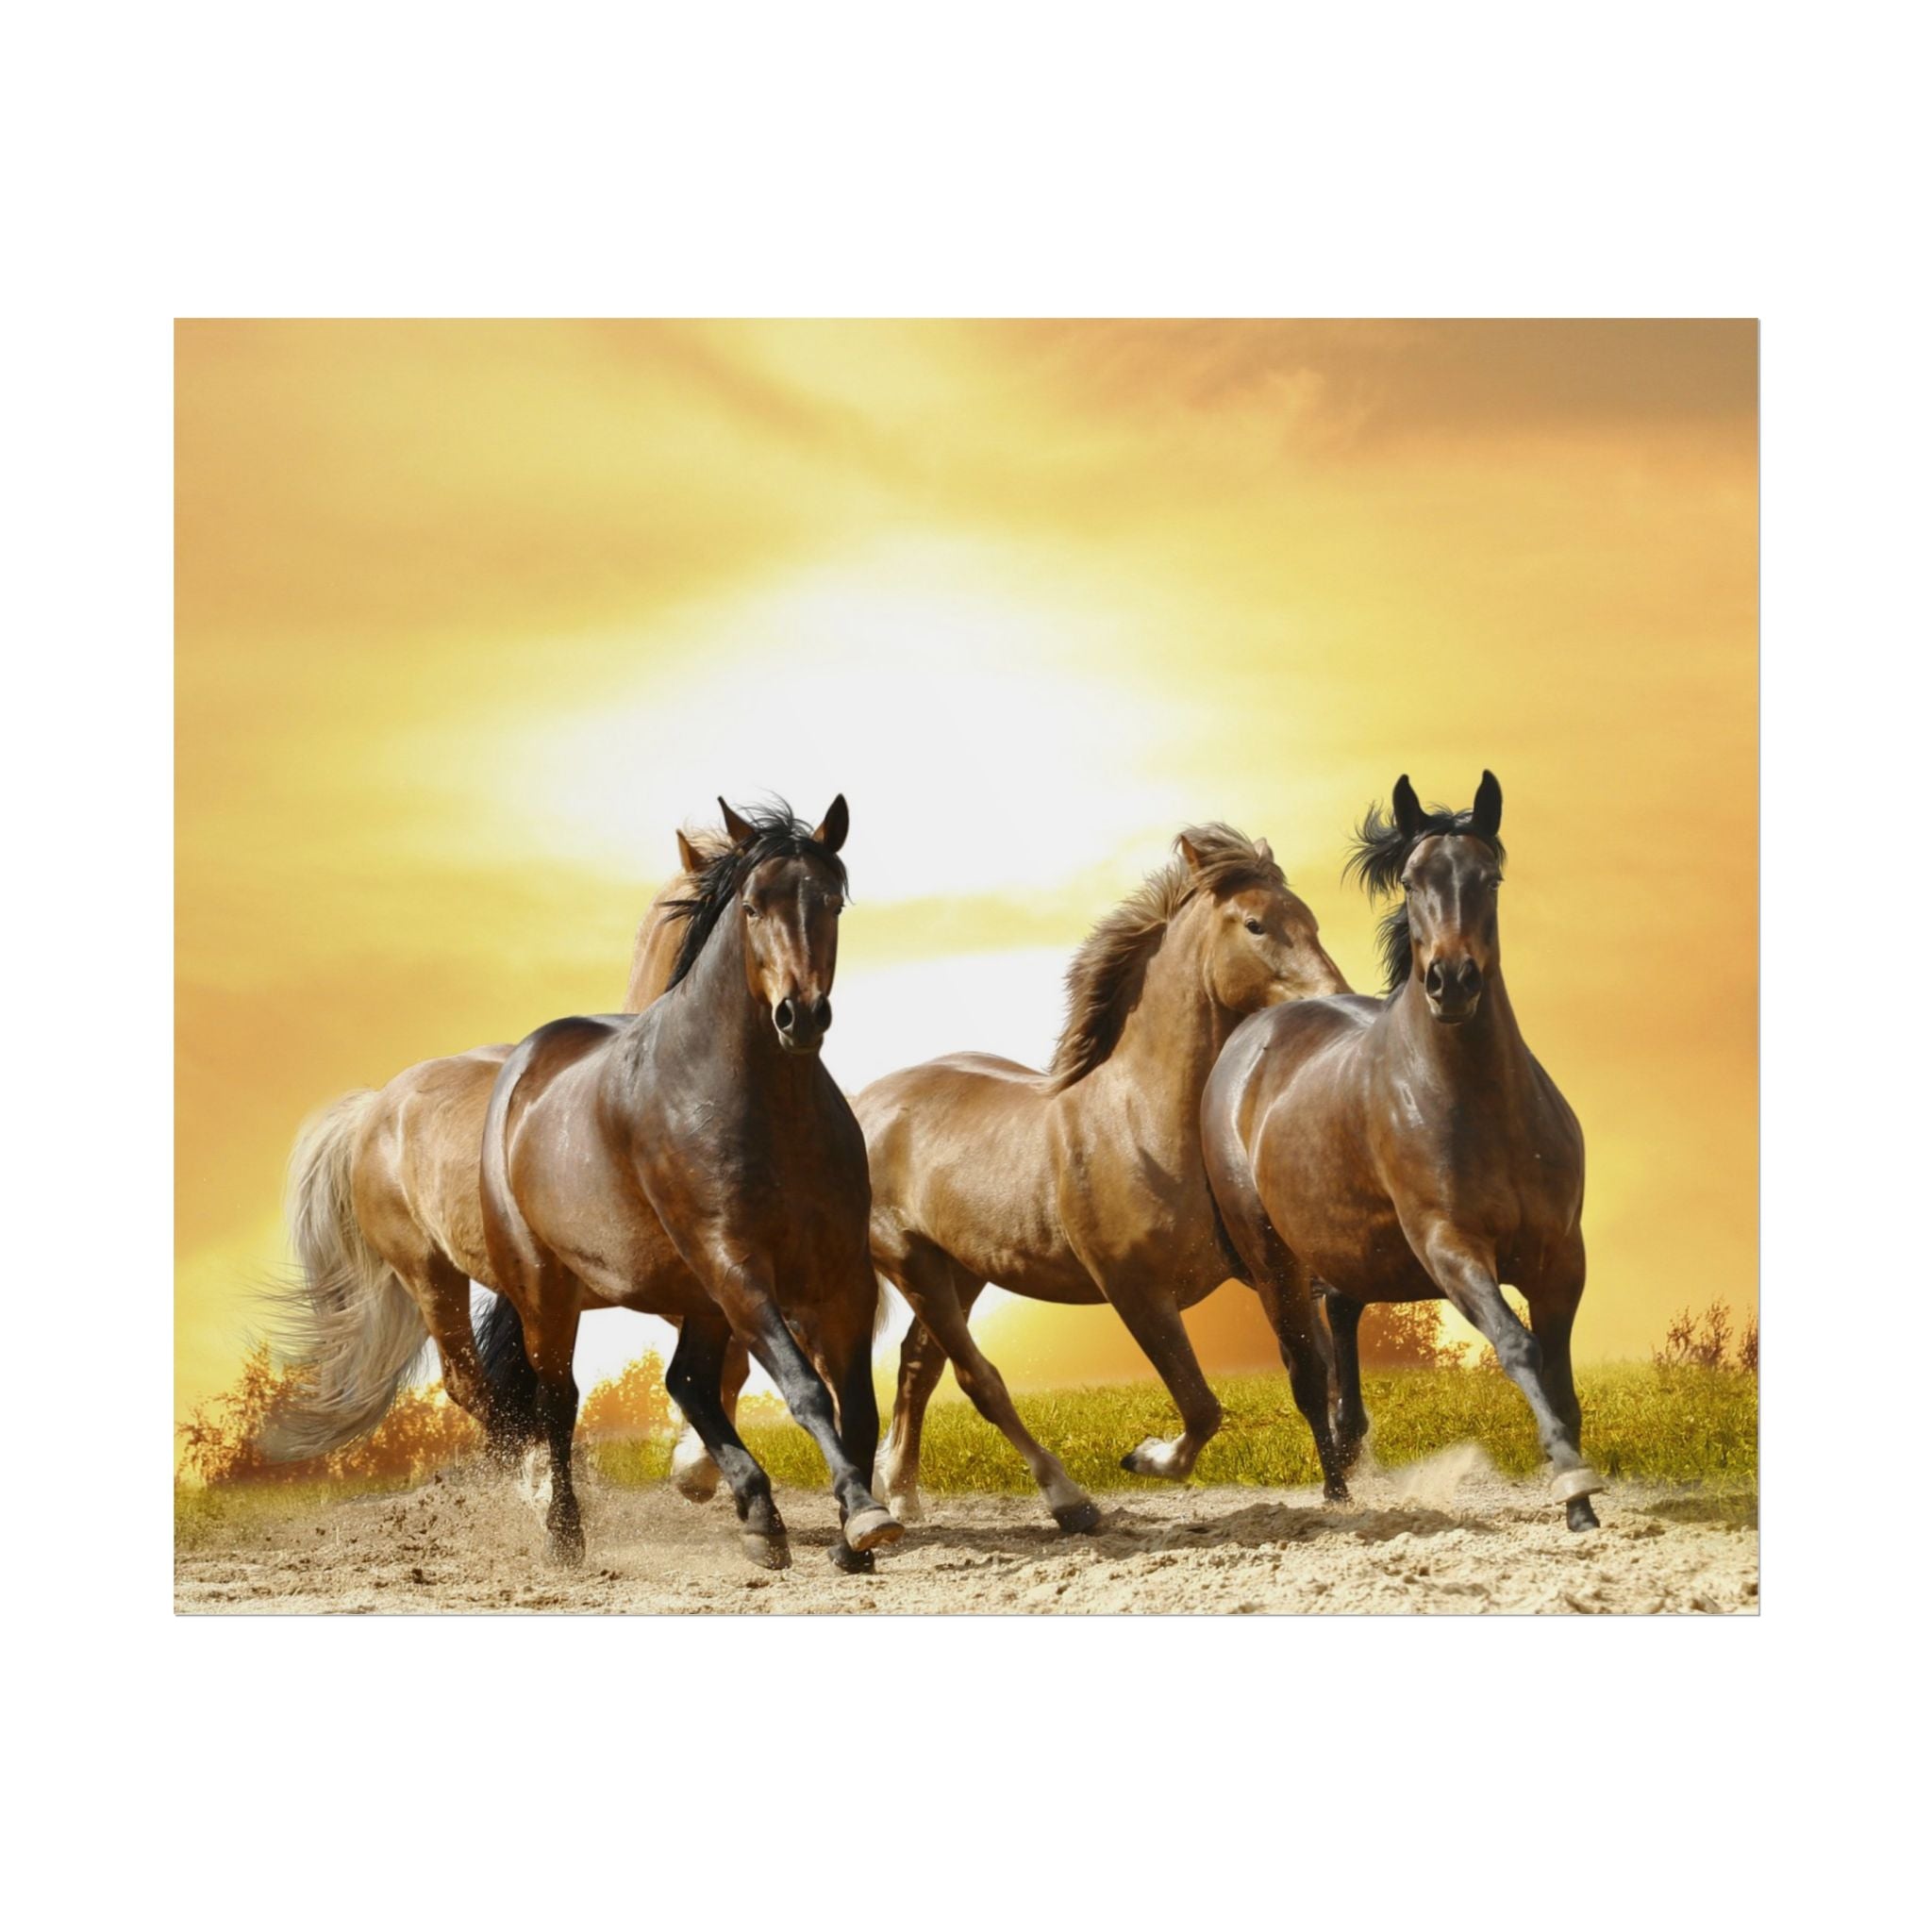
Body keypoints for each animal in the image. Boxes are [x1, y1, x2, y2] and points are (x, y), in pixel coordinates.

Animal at [476, 797, 901, 1568]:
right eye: (753, 906)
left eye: (831, 902)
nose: (801, 1015)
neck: (766, 1108)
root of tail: (522, 1068)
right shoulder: (737, 1264)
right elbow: (805, 1390)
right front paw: (863, 1515)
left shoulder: (841, 1276)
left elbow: (856, 1405)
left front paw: (853, 1537)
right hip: (549, 1292)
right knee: (561, 1402)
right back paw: (565, 1536)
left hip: (696, 1295)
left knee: (687, 1382)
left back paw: (759, 1517)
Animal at [845, 824, 1348, 1531]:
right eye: (1256, 924)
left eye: (1310, 919)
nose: (1334, 1000)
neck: (1142, 1121)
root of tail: (865, 1105)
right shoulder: (1135, 1291)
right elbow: (1201, 1406)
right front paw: (1144, 1457)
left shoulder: (1274, 1270)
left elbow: (1312, 1373)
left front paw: (1344, 1489)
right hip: (912, 1263)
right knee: (978, 1379)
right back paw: (1069, 1500)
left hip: (962, 1270)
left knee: (919, 1367)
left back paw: (903, 1494)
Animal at [1201, 772, 1605, 1530]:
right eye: (1413, 881)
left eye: (1489, 877)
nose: (1452, 981)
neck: (1483, 1105)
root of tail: (1251, 1036)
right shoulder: (1450, 1246)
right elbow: (1519, 1347)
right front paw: (1572, 1484)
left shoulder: (1561, 1256)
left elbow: (1561, 1377)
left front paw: (1581, 1500)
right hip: (1272, 1260)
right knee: (1306, 1372)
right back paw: (1337, 1493)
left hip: (1350, 1247)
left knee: (1341, 1319)